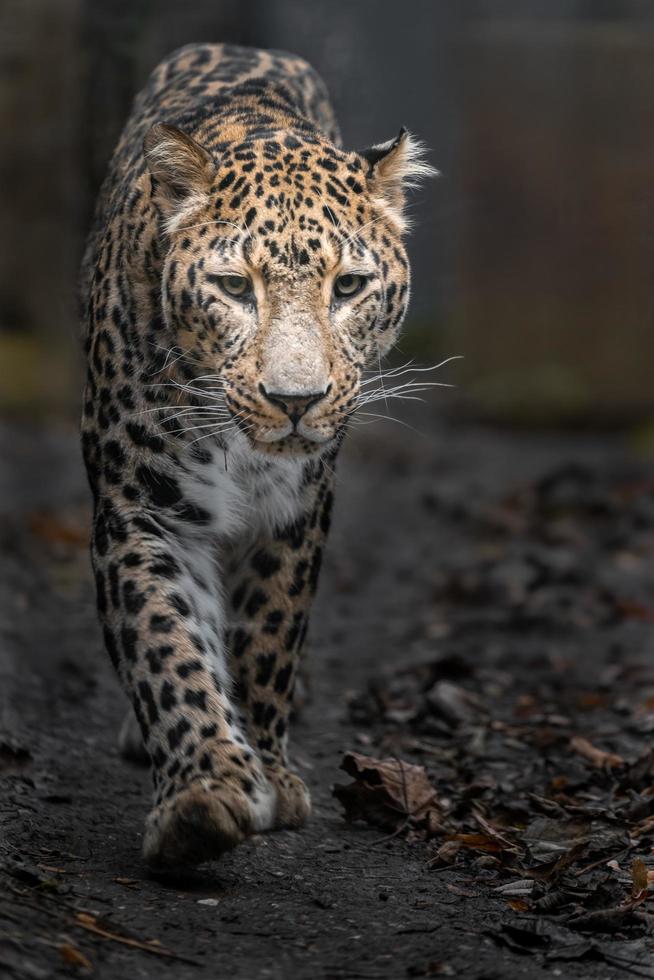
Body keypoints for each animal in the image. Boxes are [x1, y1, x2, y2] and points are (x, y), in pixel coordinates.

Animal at [80, 42, 436, 868]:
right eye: (234, 287)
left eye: (349, 286)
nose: (296, 398)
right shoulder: (141, 508)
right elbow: (166, 644)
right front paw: (203, 791)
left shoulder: (295, 510)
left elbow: (267, 636)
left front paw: (270, 771)